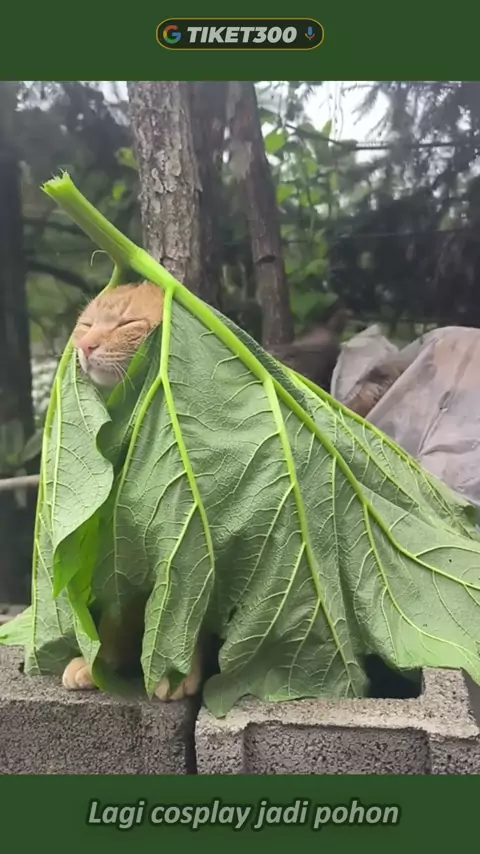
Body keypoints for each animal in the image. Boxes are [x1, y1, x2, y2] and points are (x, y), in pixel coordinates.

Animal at [64, 281, 204, 701]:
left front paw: (177, 674)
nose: (86, 345)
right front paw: (97, 665)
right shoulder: (114, 557)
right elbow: (115, 620)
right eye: (86, 325)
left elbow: (183, 620)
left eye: (126, 323)